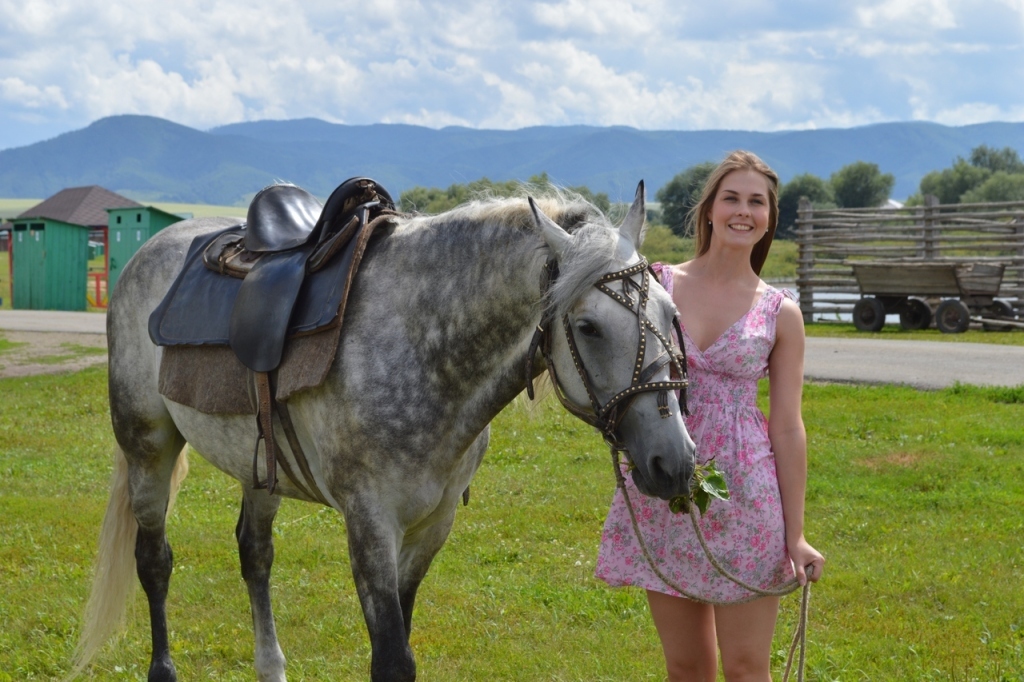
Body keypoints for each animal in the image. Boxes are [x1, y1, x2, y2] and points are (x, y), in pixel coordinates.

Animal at [72, 182, 696, 679]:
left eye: (672, 314)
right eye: (588, 327)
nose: (673, 461)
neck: (423, 346)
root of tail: (150, 249)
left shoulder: (431, 526)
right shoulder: (370, 524)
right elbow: (392, 659)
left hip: (260, 467)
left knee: (255, 554)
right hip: (147, 446)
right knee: (154, 560)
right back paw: (162, 668)